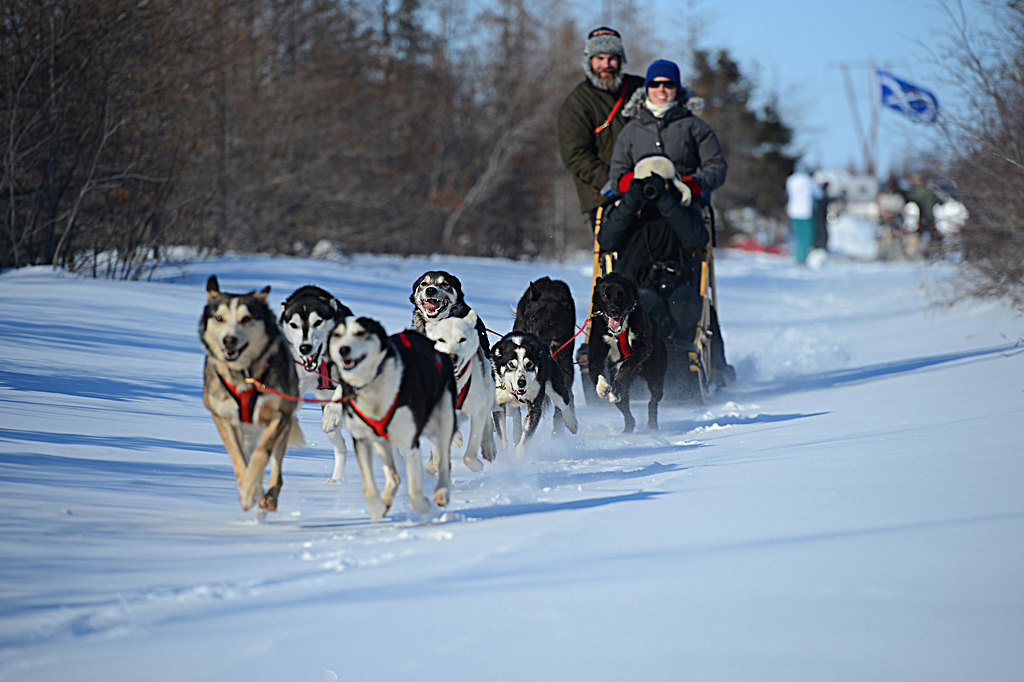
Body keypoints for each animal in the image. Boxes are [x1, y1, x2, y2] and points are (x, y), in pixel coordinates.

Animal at [198, 274, 301, 509]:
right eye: (219, 318)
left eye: (246, 319)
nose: (229, 340)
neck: (244, 374)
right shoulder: (222, 417)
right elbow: (237, 456)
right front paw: (247, 488)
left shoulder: (279, 414)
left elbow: (262, 452)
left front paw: (252, 488)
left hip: (285, 424)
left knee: (276, 466)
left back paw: (269, 497)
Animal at [278, 284, 354, 481]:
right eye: (294, 325)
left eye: (318, 322)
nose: (305, 347)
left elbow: (339, 394)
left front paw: (332, 414)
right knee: (341, 446)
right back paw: (337, 480)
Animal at [321, 317, 454, 520]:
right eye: (337, 334)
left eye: (361, 333)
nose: (343, 349)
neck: (372, 388)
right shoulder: (362, 440)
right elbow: (369, 487)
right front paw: (377, 508)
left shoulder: (409, 443)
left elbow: (414, 493)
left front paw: (423, 506)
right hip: (383, 442)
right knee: (394, 475)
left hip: (444, 420)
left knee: (444, 458)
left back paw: (442, 492)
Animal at [589, 270, 667, 430]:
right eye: (605, 295)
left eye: (622, 295)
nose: (614, 310)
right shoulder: (595, 351)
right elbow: (595, 371)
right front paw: (602, 387)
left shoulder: (643, 348)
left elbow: (626, 365)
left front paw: (618, 382)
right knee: (625, 409)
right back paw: (628, 428)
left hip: (656, 377)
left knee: (653, 401)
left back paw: (652, 425)